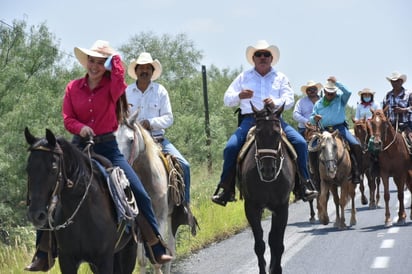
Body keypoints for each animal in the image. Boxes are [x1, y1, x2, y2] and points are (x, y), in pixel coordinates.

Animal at [24, 127, 137, 272]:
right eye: (28, 168)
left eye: (54, 168)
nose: (35, 215)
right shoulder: (66, 260)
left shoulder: (104, 259)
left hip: (128, 253)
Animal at [116, 112, 174, 272]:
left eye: (131, 140)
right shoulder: (140, 224)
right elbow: (142, 259)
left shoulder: (160, 218)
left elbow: (159, 256)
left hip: (171, 215)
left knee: (171, 248)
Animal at [238, 103, 296, 274]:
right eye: (257, 134)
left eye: (277, 133)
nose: (268, 170)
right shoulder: (251, 208)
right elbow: (260, 245)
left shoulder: (282, 208)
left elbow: (278, 243)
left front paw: (276, 268)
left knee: (273, 239)